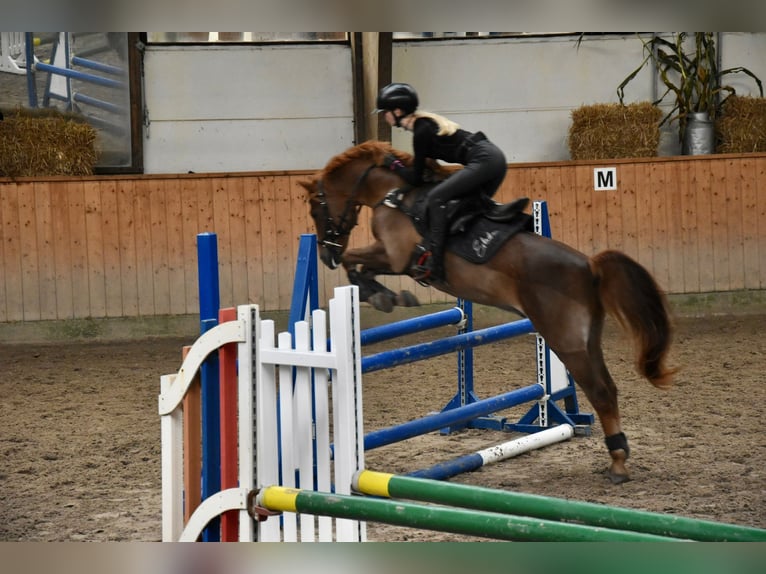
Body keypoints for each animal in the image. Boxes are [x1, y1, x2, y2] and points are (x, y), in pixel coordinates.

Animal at [300, 141, 680, 486]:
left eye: (316, 208)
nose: (326, 255)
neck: (394, 195)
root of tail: (590, 266)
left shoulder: (395, 256)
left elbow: (355, 262)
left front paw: (383, 295)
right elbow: (356, 263)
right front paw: (385, 294)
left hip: (565, 340)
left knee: (600, 391)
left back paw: (618, 464)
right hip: (587, 341)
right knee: (609, 390)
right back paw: (618, 454)